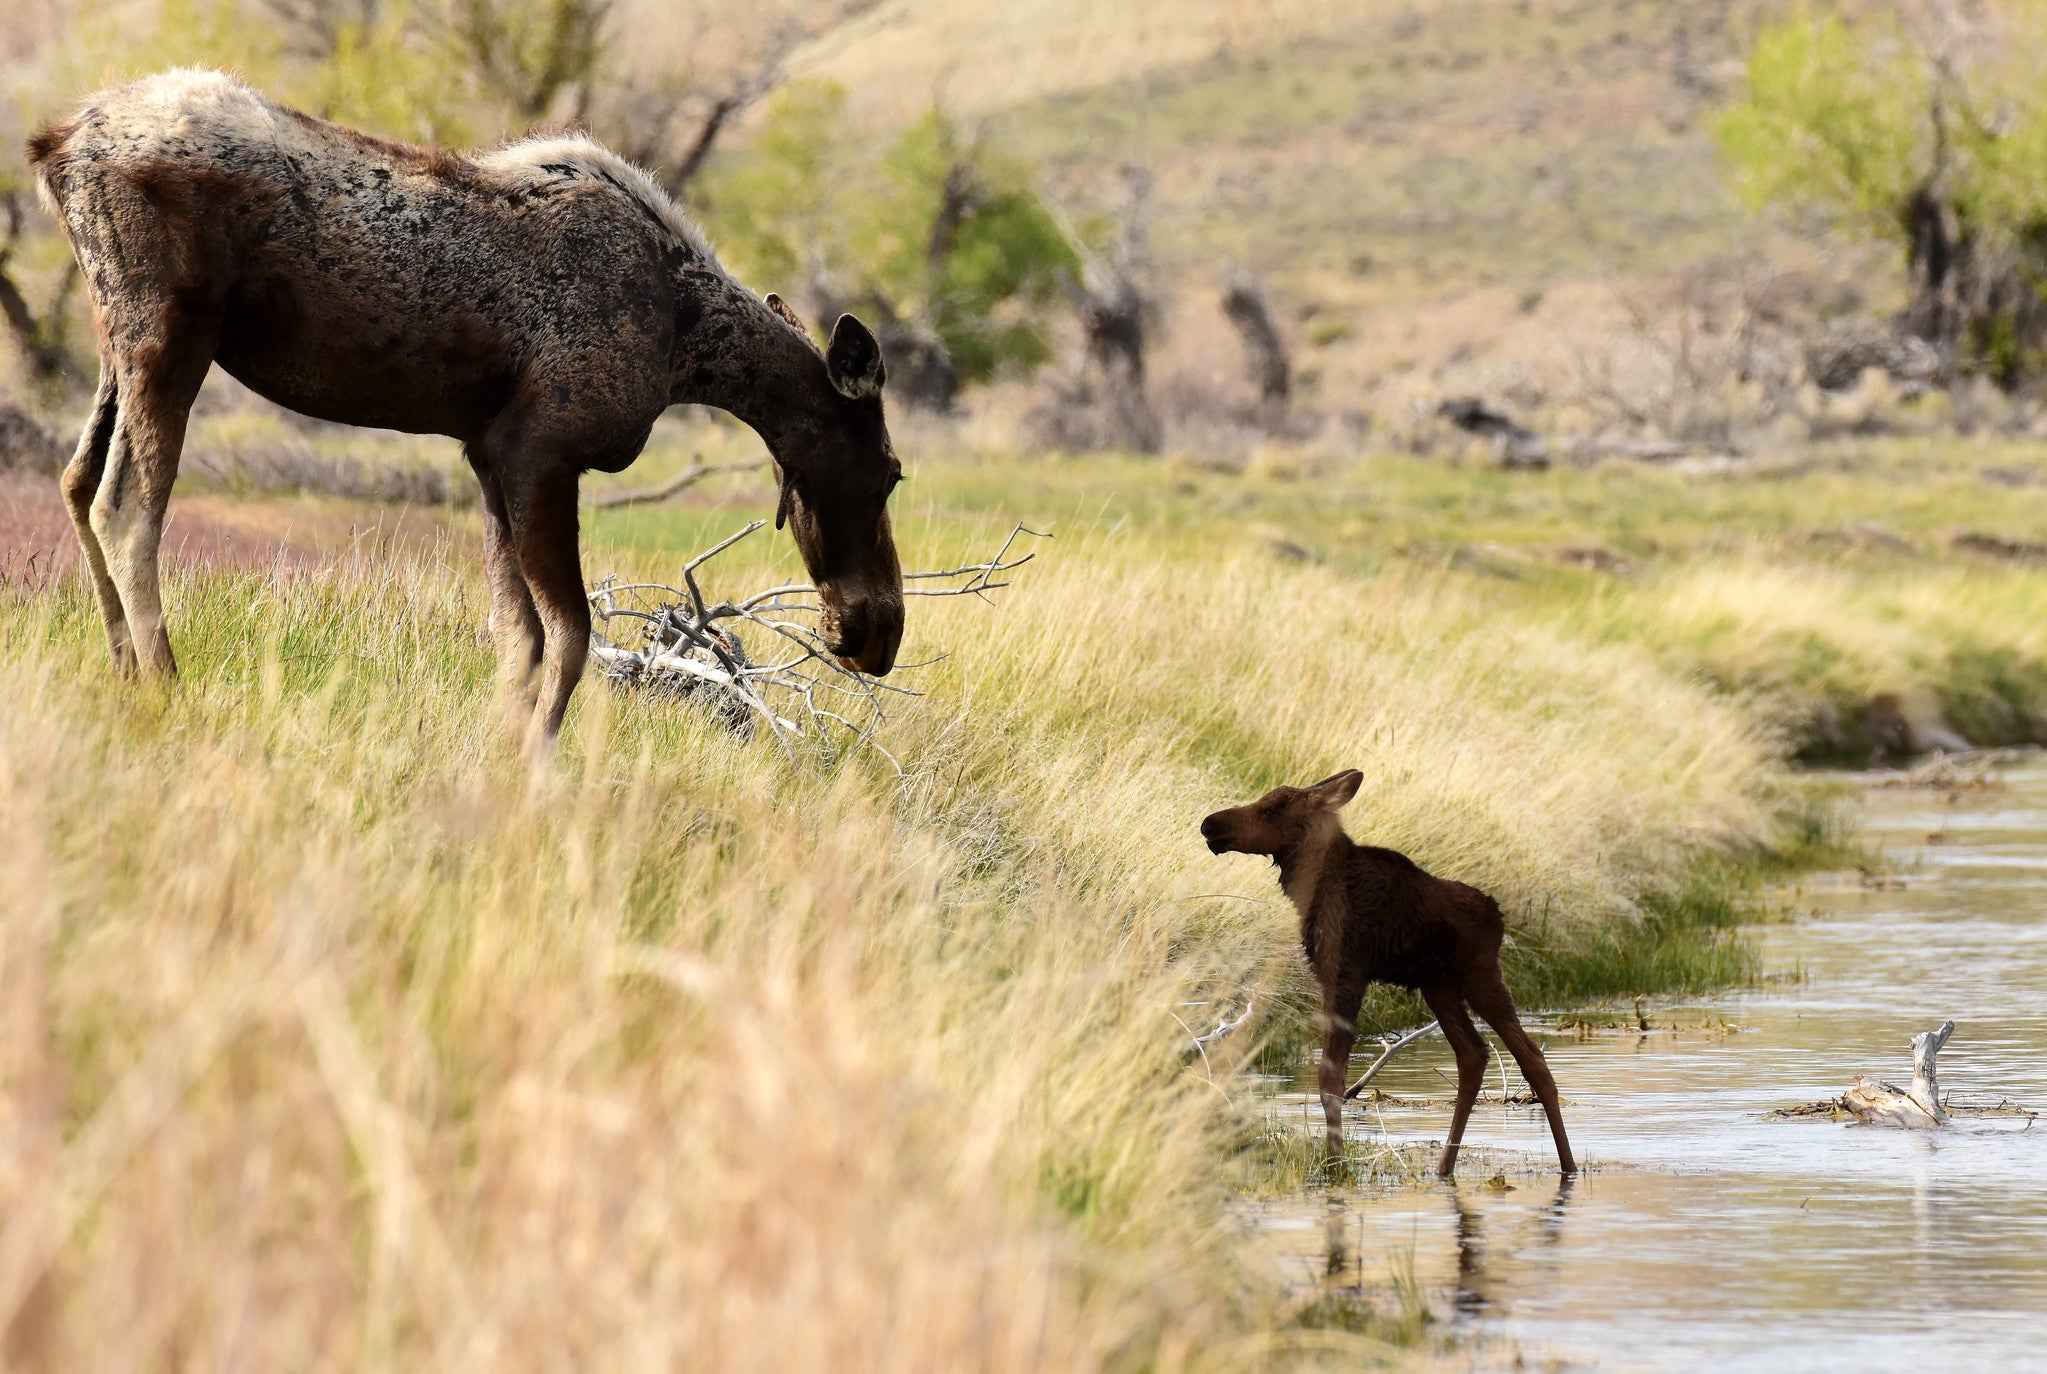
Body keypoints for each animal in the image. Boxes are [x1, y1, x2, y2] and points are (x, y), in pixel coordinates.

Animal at [25, 70, 905, 752]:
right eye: (892, 471)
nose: (877, 633)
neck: (687, 345)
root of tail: (57, 147)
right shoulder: (543, 453)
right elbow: (571, 637)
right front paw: (535, 766)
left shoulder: (487, 456)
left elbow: (519, 637)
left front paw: (496, 749)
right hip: (170, 337)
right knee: (127, 506)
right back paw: (166, 689)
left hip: (116, 347)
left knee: (76, 481)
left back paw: (122, 674)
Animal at [1201, 771, 1576, 1179]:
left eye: (1271, 809)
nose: (1210, 824)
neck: (1312, 888)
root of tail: (1499, 915)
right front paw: (1335, 1161)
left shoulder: (1346, 974)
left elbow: (1330, 1077)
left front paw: (1335, 1167)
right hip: (1439, 987)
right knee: (1474, 1054)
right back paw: (1444, 1167)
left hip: (1481, 977)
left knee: (1532, 1059)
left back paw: (1568, 1166)